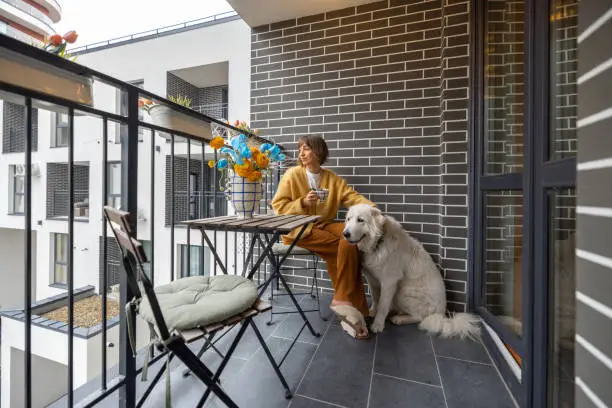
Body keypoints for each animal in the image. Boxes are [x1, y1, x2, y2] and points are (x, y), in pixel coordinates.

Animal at [344, 204, 478, 338]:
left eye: (360, 220)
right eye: (348, 219)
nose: (345, 234)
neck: (378, 243)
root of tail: (441, 315)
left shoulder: (389, 282)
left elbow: (383, 304)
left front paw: (378, 325)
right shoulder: (372, 279)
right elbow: (376, 298)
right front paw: (372, 311)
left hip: (401, 293)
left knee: (420, 317)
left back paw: (399, 319)